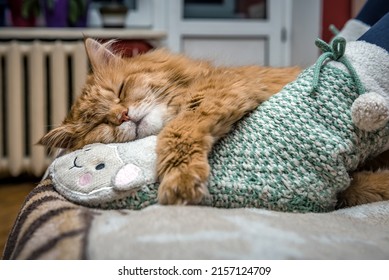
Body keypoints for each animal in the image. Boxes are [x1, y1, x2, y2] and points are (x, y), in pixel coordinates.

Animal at [39, 37, 388, 208]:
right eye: (99, 124)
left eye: (120, 90)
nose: (122, 115)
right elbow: (356, 189)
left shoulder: (219, 93)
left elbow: (177, 132)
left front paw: (179, 180)